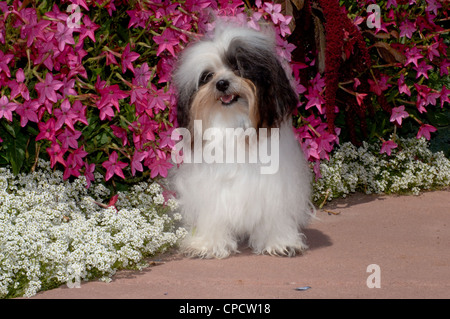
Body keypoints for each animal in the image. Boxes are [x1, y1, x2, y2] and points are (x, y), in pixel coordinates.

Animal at [169, 23, 312, 258]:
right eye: (208, 76)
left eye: (238, 67)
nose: (221, 83)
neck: (233, 122)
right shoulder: (210, 188)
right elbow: (213, 214)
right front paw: (208, 244)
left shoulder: (274, 186)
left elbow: (274, 214)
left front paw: (279, 242)